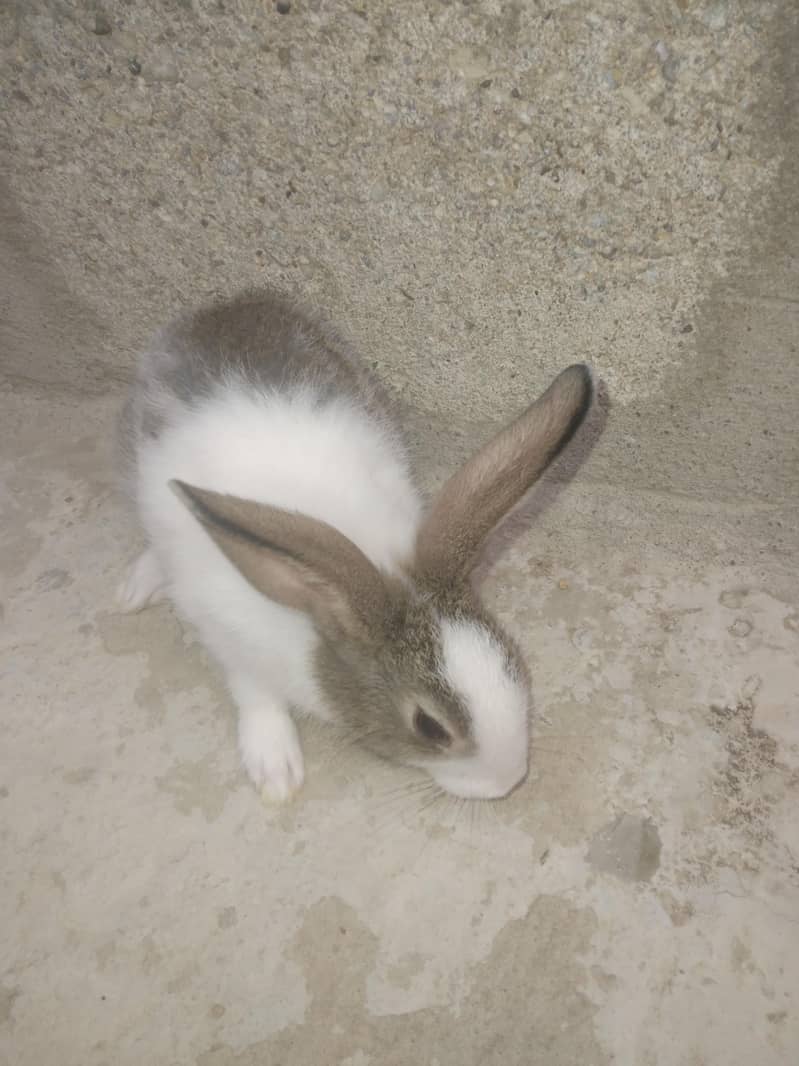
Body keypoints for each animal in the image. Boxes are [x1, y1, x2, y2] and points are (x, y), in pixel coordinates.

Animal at [117, 289, 593, 803]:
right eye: (430, 727)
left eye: (514, 666)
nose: (508, 782)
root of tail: (227, 308)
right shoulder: (225, 636)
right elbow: (255, 695)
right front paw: (276, 772)